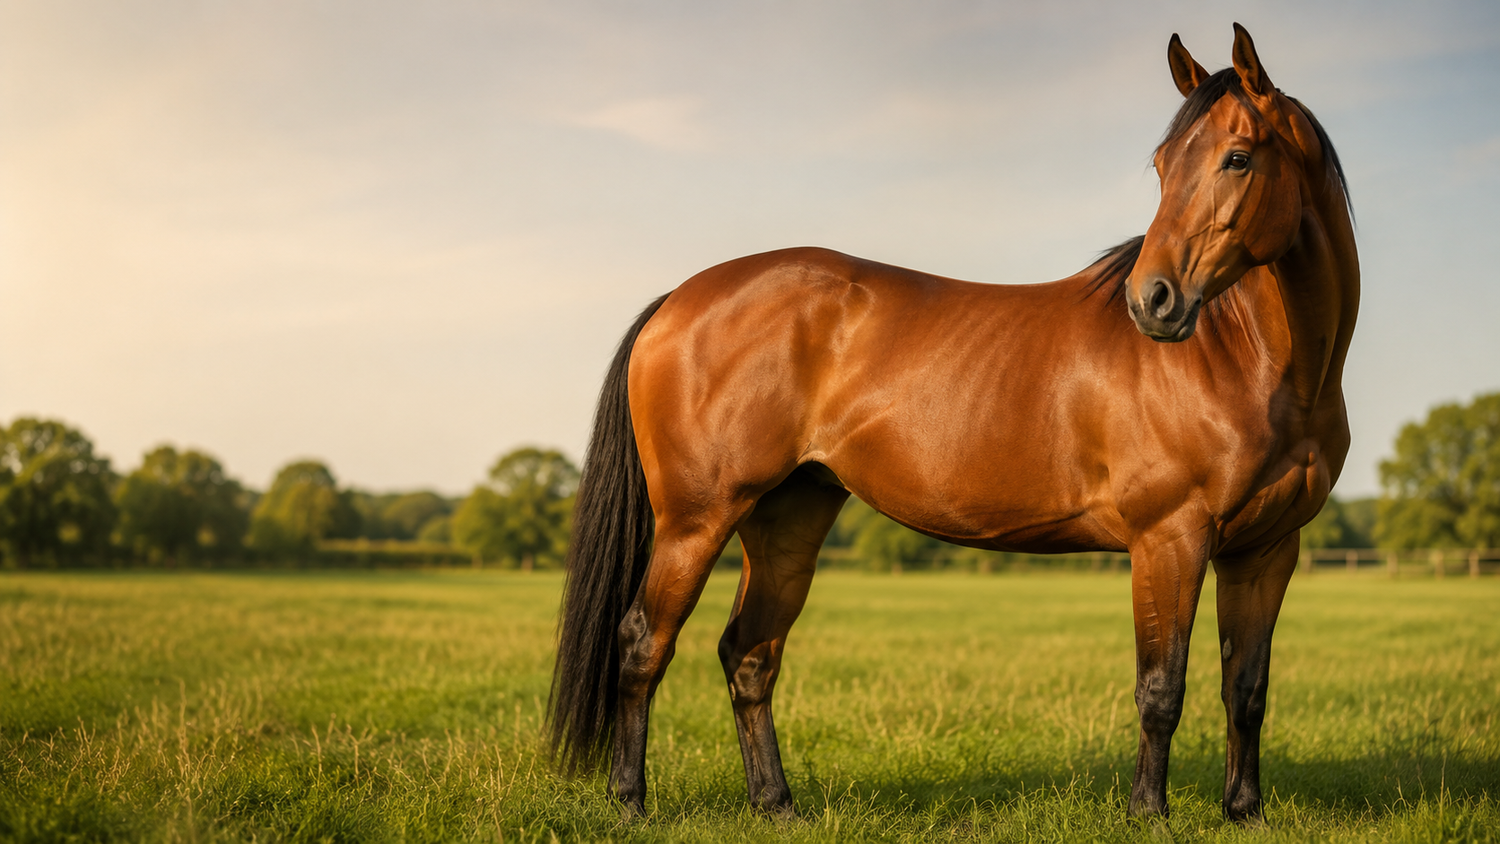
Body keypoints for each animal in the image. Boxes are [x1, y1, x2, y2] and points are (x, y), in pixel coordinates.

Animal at [548, 23, 1357, 825]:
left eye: (1238, 158)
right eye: (1162, 166)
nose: (1151, 300)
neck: (1252, 363)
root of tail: (678, 299)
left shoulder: (1266, 552)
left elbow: (1246, 690)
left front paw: (1244, 812)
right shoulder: (1170, 540)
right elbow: (1161, 689)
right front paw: (1147, 815)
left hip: (788, 519)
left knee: (748, 655)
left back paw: (777, 805)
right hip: (695, 519)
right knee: (643, 643)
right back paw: (629, 802)